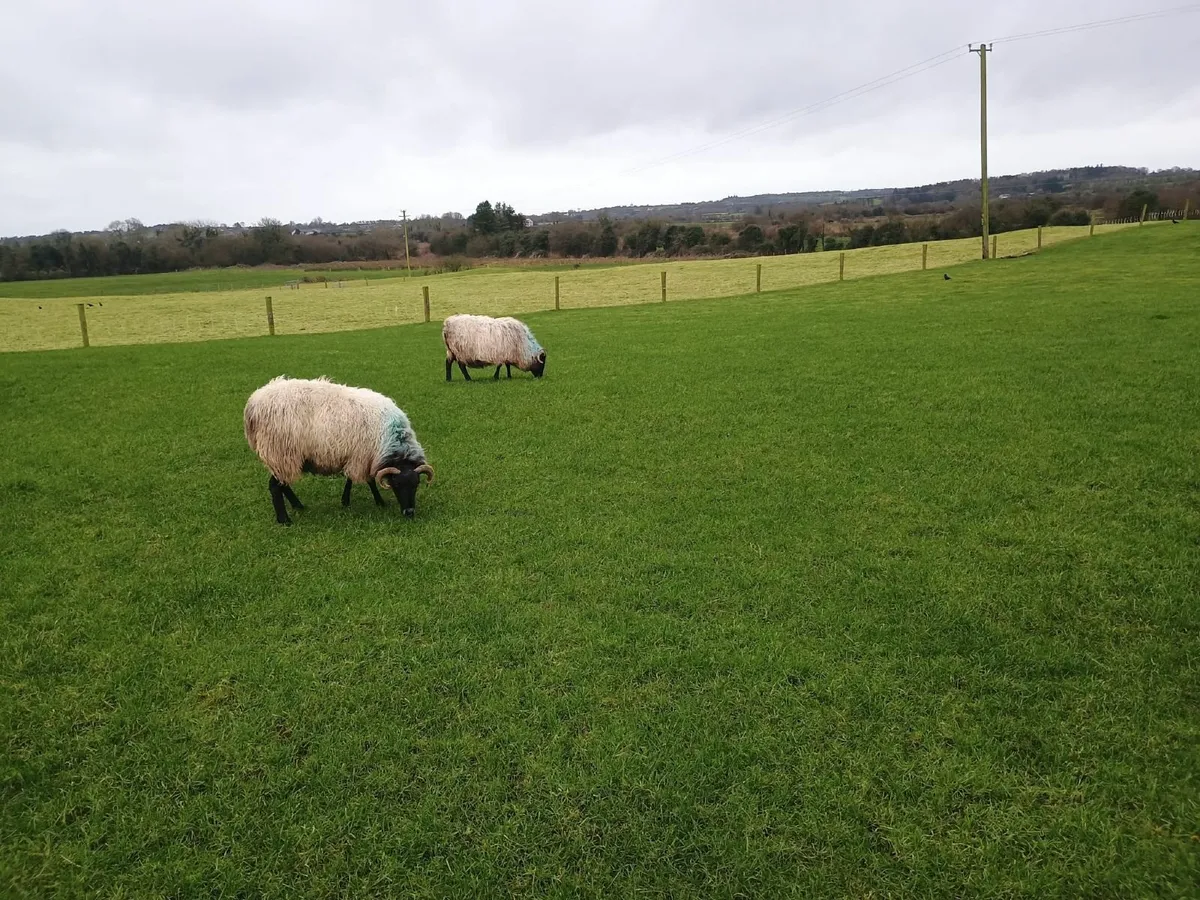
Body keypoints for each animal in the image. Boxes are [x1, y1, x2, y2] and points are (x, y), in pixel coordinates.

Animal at [243, 376, 434, 525]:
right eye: (397, 484)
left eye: (417, 484)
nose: (409, 512)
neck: (390, 438)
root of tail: (253, 404)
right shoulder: (362, 456)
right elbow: (369, 480)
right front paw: (379, 501)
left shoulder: (355, 456)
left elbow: (350, 479)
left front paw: (346, 500)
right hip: (280, 451)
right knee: (275, 486)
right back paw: (284, 520)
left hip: (284, 456)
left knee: (282, 483)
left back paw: (298, 506)